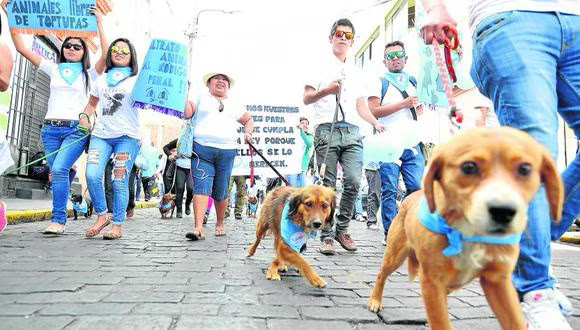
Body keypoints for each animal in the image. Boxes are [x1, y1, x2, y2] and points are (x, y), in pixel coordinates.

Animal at [368, 127, 560, 330]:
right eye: (469, 167)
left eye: (525, 169)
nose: (503, 212)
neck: (470, 234)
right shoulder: (432, 282)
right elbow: (441, 322)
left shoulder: (498, 281)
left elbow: (515, 321)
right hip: (395, 255)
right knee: (381, 274)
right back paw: (375, 300)